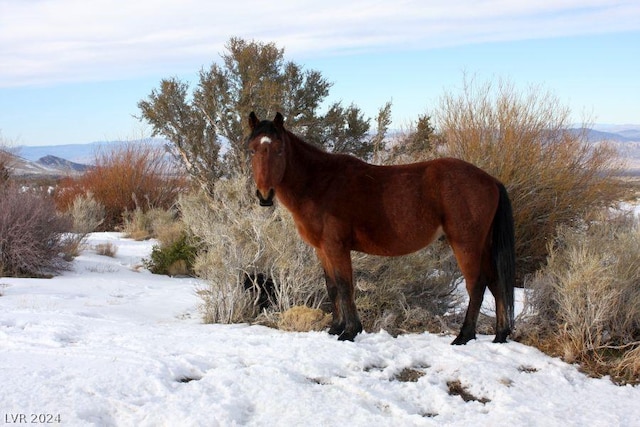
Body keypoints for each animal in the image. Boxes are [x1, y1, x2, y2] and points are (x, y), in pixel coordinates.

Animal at [245, 113, 516, 344]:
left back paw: (464, 336)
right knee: (496, 283)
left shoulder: (336, 247)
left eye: (279, 150)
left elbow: (345, 286)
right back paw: (500, 335)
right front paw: (335, 328)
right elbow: (332, 287)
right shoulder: (322, 249)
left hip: (466, 244)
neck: (320, 183)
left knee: (476, 285)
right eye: (253, 150)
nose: (264, 195)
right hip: (484, 245)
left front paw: (350, 331)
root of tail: (490, 180)